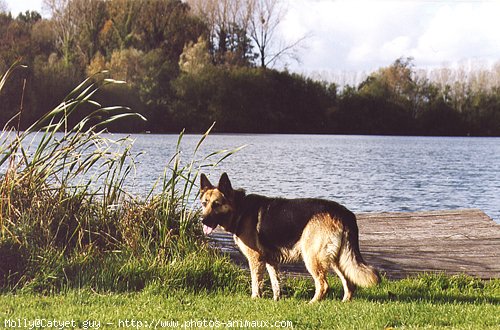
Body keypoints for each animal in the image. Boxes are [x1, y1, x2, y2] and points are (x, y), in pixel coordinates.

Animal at [199, 173, 378, 302]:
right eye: (204, 203)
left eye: (216, 204)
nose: (202, 220)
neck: (240, 208)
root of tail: (344, 213)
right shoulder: (271, 261)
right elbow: (275, 283)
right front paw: (276, 301)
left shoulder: (255, 259)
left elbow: (256, 283)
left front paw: (255, 299)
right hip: (336, 259)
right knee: (349, 283)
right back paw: (343, 303)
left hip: (312, 258)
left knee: (323, 285)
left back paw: (311, 304)